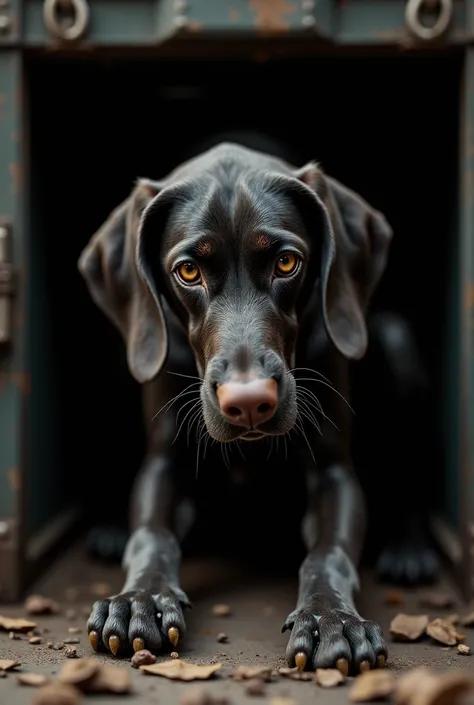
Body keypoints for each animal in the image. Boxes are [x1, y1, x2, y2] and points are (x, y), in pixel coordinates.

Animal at [78, 140, 392, 672]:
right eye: (188, 271)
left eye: (286, 263)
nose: (249, 404)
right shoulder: (164, 461)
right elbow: (152, 535)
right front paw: (140, 599)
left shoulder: (334, 471)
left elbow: (329, 551)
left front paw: (331, 618)